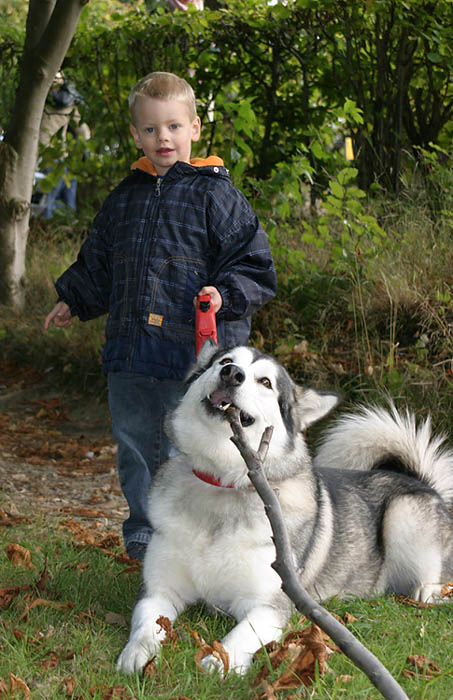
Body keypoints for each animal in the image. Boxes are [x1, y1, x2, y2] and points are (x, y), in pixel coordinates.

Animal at [116, 342, 452, 676]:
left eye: (265, 382)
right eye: (225, 361)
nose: (232, 374)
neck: (223, 484)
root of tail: (424, 481)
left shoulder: (268, 604)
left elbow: (240, 635)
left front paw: (221, 661)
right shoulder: (159, 590)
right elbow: (147, 624)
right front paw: (137, 654)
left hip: (404, 513)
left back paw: (428, 594)